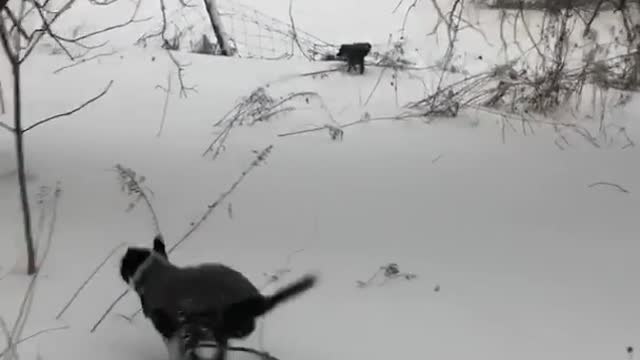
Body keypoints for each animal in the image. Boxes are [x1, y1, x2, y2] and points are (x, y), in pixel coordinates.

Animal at [119, 236, 318, 360]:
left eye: (124, 263)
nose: (119, 268)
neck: (155, 272)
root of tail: (259, 302)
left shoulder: (170, 330)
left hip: (220, 325)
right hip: (221, 330)